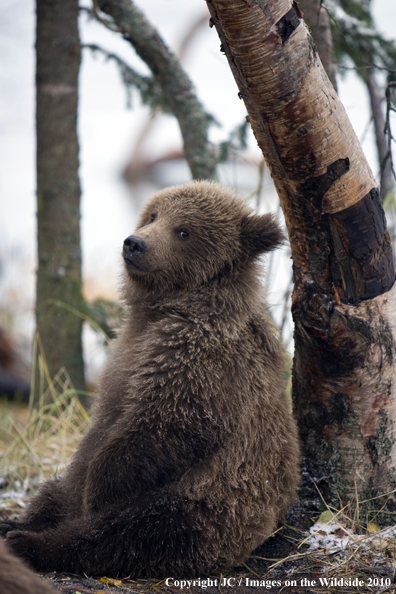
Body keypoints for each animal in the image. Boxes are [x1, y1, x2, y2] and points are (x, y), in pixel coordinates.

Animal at [0, 182, 298, 580]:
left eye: (184, 231)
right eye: (154, 215)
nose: (134, 243)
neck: (164, 309)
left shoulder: (197, 363)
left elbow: (161, 427)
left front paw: (98, 492)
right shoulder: (124, 359)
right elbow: (96, 435)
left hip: (212, 508)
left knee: (135, 531)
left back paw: (32, 543)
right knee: (56, 493)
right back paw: (17, 524)